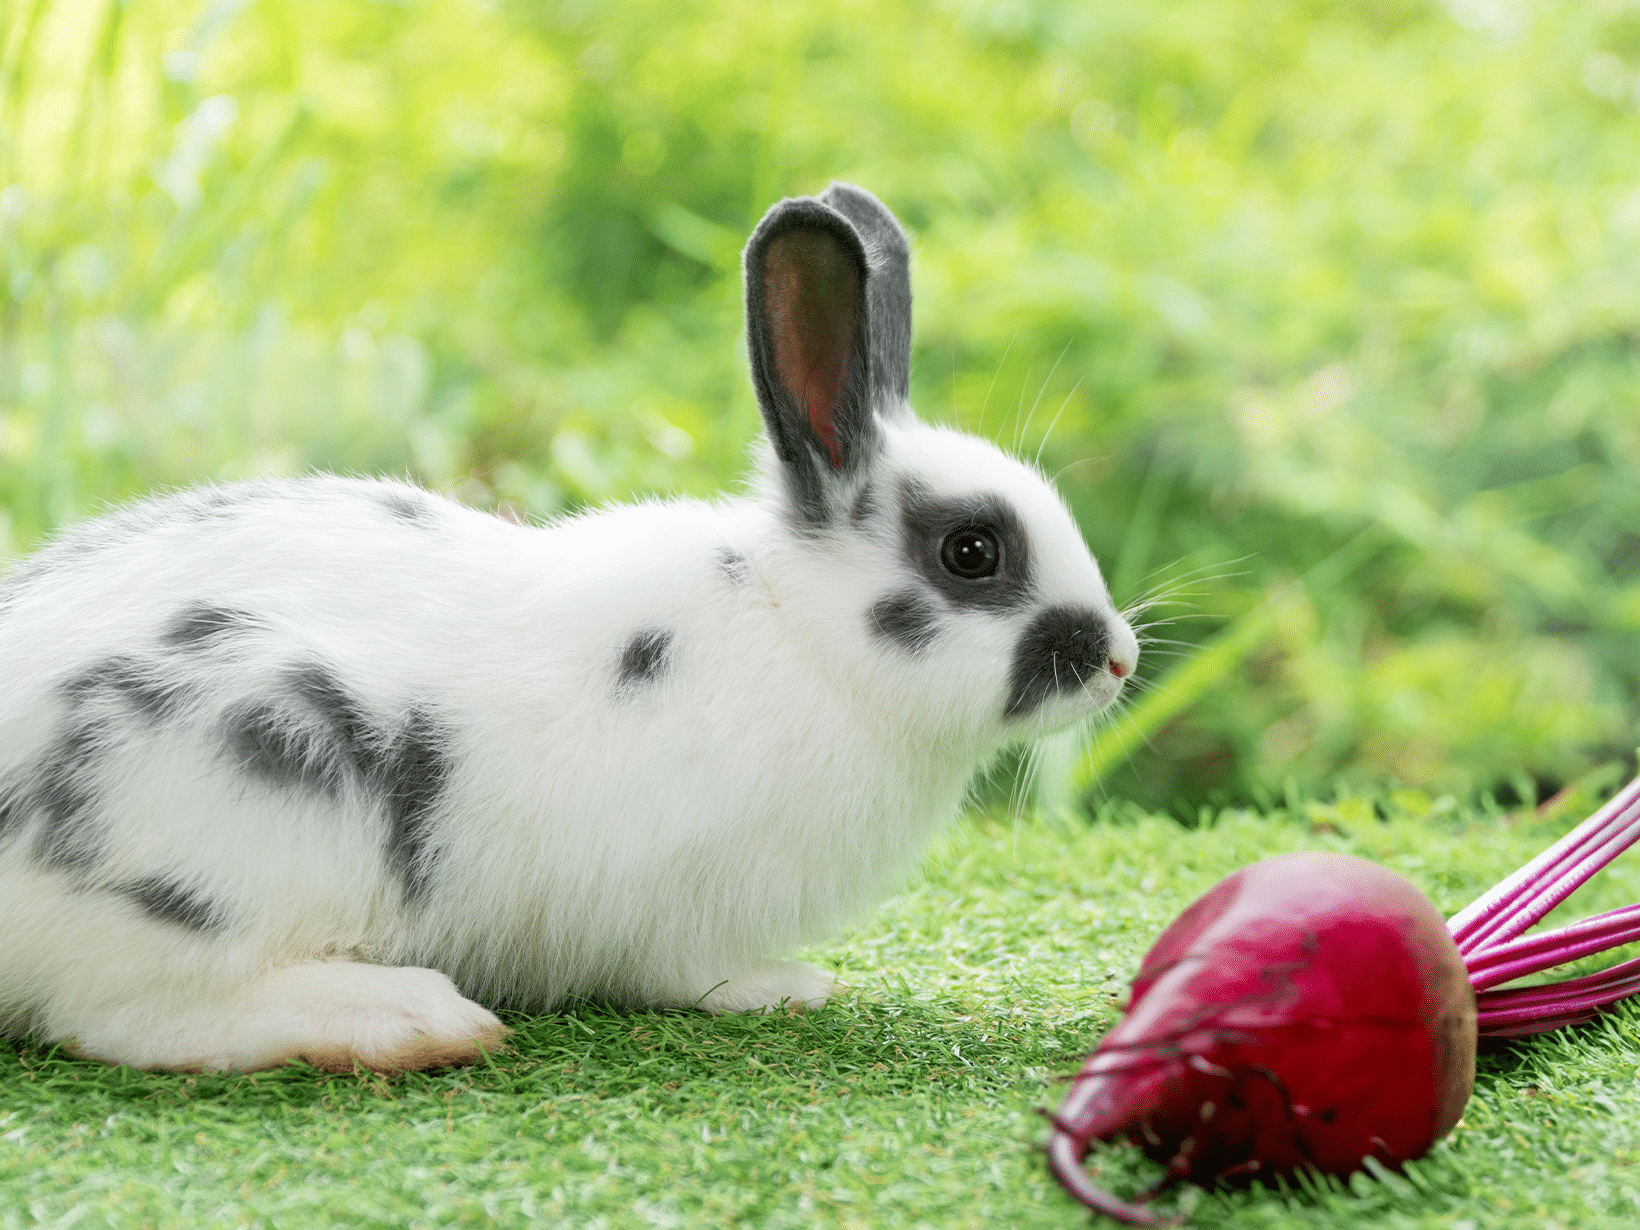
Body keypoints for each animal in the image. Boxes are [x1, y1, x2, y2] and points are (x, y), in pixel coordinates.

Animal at [0, 185, 1134, 1075]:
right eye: (971, 552)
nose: (1119, 659)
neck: (797, 632)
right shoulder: (676, 903)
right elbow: (693, 975)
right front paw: (787, 986)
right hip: (237, 806)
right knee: (130, 1017)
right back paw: (411, 1021)